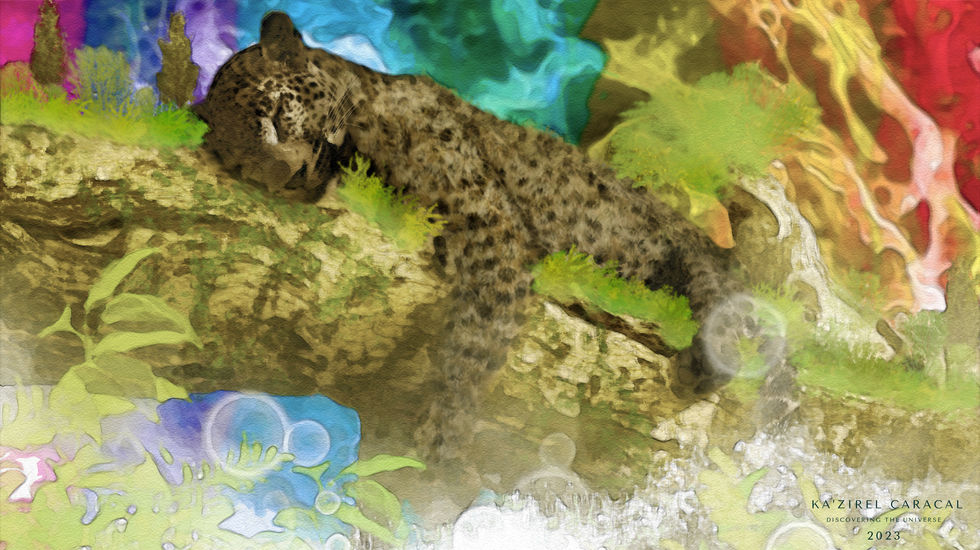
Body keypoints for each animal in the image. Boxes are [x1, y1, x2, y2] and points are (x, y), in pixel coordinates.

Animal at [193, 11, 789, 458]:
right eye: (238, 159)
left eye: (275, 113)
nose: (283, 176)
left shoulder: (489, 218)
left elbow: (473, 343)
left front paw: (440, 444)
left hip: (681, 250)